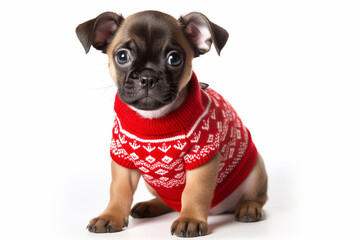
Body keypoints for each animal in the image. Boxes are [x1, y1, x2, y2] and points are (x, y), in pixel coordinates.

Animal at [76, 10, 268, 237]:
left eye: (174, 59)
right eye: (122, 56)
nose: (147, 76)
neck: (154, 119)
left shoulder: (202, 158)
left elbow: (195, 192)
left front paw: (190, 219)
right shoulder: (123, 159)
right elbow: (119, 190)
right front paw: (110, 215)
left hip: (256, 169)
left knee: (258, 197)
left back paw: (249, 207)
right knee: (169, 202)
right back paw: (151, 205)